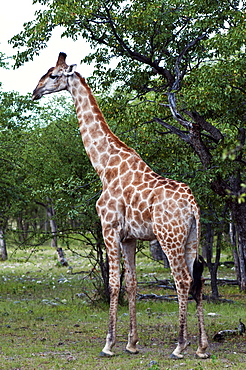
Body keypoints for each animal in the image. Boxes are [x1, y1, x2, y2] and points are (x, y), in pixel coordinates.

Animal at [32, 52, 208, 358]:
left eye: (53, 75)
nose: (35, 92)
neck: (104, 165)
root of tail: (192, 204)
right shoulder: (129, 237)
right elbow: (132, 283)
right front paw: (132, 343)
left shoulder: (109, 228)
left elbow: (114, 283)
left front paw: (109, 344)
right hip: (192, 238)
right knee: (197, 281)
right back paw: (201, 347)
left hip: (169, 237)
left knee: (183, 280)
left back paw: (180, 345)